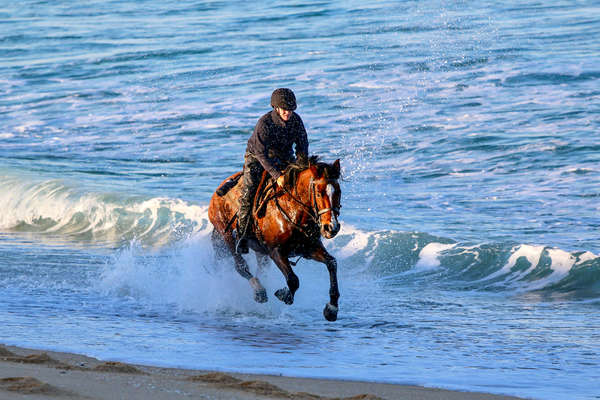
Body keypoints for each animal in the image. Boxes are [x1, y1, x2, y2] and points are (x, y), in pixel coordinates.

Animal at [209, 156, 342, 322]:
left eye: (338, 191)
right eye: (318, 193)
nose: (331, 227)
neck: (293, 211)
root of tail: (216, 194)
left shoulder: (309, 249)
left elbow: (332, 263)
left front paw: (331, 308)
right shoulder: (276, 251)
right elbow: (293, 279)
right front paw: (285, 295)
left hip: (259, 251)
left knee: (260, 269)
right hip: (226, 236)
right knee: (240, 266)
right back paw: (259, 292)